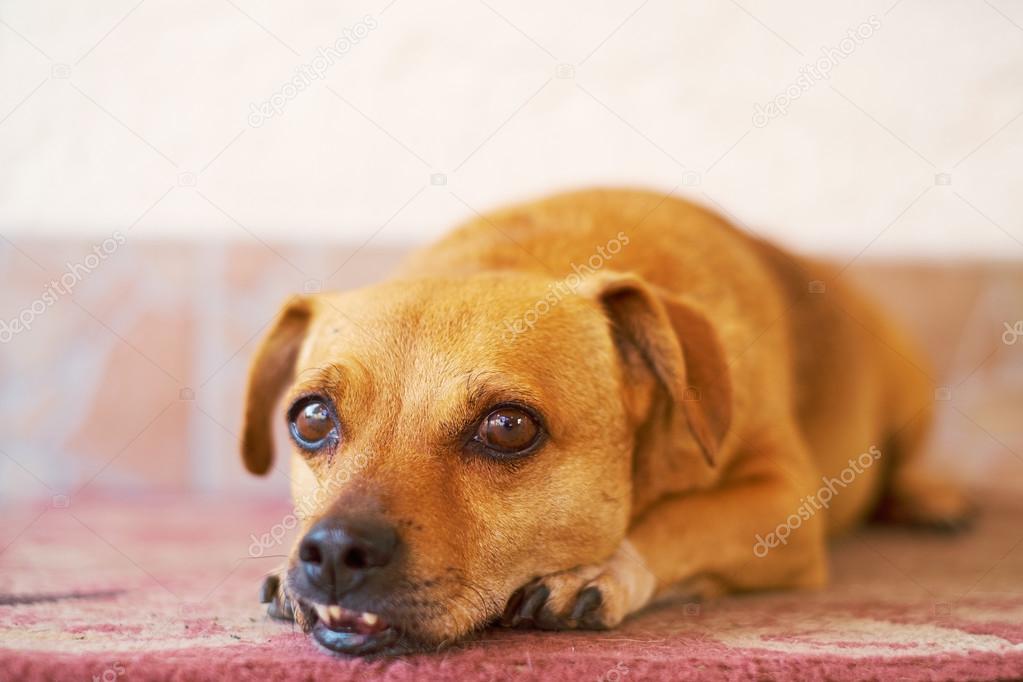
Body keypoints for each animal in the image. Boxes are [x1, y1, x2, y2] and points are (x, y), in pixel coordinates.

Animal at [239, 187, 965, 654]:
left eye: (508, 428)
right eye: (310, 420)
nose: (334, 552)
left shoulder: (783, 504)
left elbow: (682, 520)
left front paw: (601, 570)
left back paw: (932, 498)